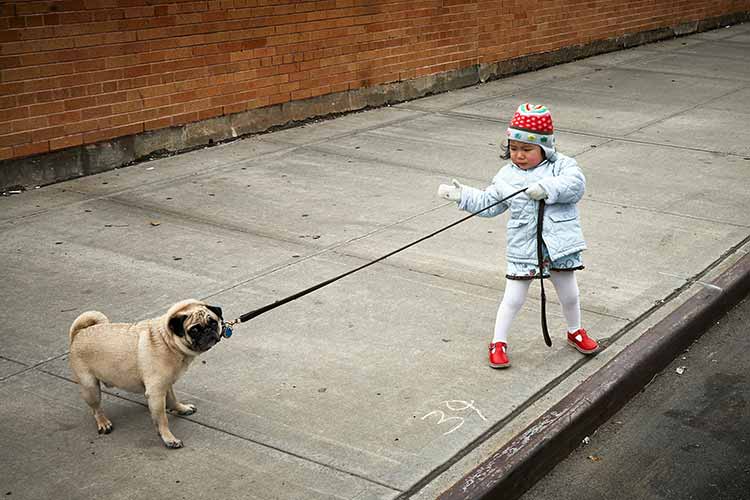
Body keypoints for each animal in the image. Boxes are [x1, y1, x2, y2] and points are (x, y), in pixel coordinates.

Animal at [69, 298, 225, 448]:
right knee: (96, 409)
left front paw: (182, 408)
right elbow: (162, 419)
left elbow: (173, 399)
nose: (208, 330)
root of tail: (78, 333)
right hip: (90, 388)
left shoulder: (166, 384)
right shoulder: (156, 393)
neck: (167, 341)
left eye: (213, 322)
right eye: (194, 330)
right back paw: (103, 422)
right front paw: (169, 439)